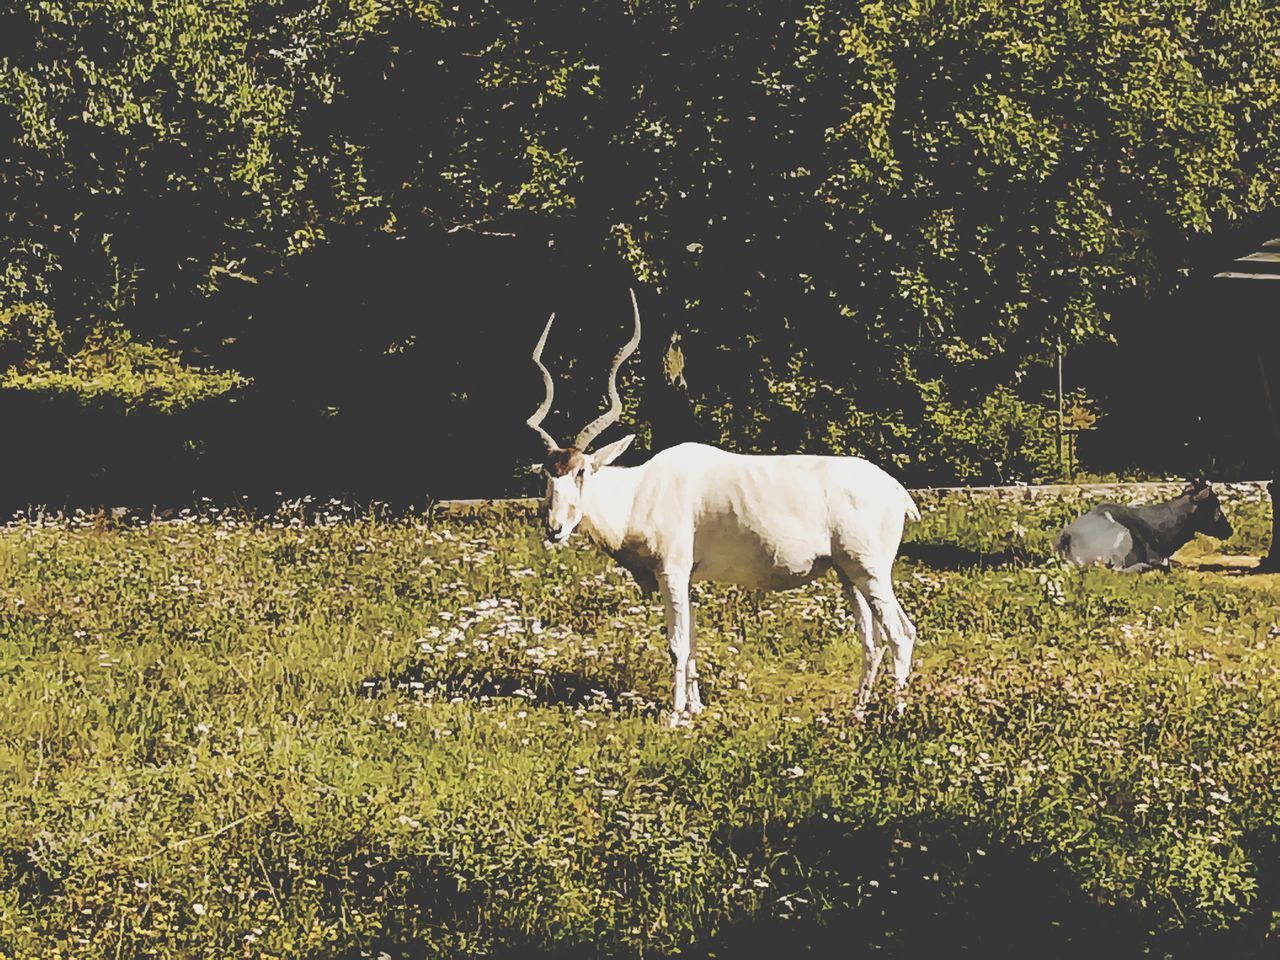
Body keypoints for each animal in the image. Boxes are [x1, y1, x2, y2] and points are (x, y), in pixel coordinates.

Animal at [529, 289, 921, 727]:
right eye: (547, 474)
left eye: (582, 471)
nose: (555, 528)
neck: (639, 491)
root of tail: (896, 491)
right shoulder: (688, 580)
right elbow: (694, 640)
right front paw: (696, 708)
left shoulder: (671, 573)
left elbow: (677, 644)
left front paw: (675, 716)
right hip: (848, 574)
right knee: (872, 639)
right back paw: (857, 712)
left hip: (870, 572)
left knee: (900, 633)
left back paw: (895, 715)